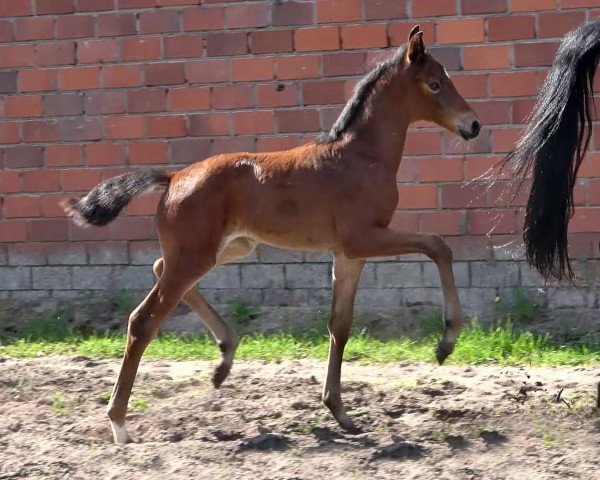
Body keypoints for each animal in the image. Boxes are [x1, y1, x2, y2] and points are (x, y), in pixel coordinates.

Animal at [63, 28, 480, 444]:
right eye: (435, 83)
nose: (473, 124)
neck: (361, 157)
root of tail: (174, 177)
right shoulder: (362, 238)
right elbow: (438, 246)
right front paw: (446, 342)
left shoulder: (347, 254)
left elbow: (340, 324)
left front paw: (340, 412)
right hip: (198, 255)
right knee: (143, 319)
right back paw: (119, 423)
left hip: (226, 248)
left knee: (158, 266)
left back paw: (225, 355)